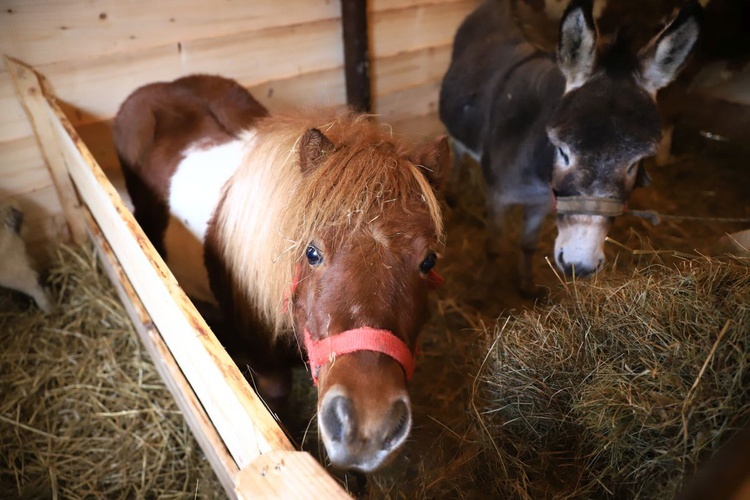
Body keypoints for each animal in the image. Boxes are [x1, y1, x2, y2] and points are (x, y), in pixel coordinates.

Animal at [440, 0, 704, 294]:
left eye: (634, 164)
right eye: (563, 152)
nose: (579, 266)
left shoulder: (543, 202)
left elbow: (528, 244)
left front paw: (526, 285)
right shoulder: (498, 197)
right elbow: (494, 246)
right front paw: (483, 288)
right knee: (457, 149)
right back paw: (451, 193)